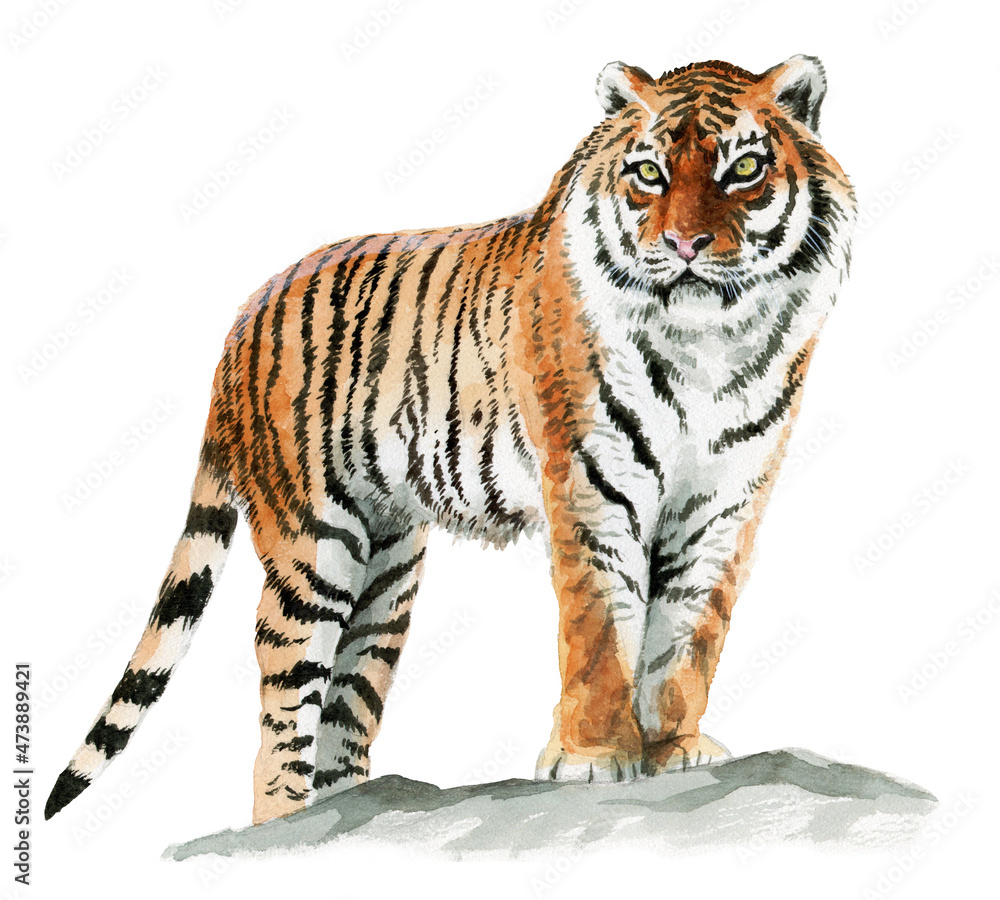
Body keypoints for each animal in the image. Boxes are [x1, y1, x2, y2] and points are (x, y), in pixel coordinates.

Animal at [46, 55, 856, 827]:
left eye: (743, 170)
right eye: (649, 174)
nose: (685, 244)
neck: (708, 344)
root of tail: (246, 314)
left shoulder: (722, 503)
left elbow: (688, 639)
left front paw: (675, 748)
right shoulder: (593, 488)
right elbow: (600, 631)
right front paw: (594, 759)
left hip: (387, 569)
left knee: (347, 706)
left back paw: (345, 810)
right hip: (313, 545)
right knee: (284, 697)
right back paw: (276, 822)